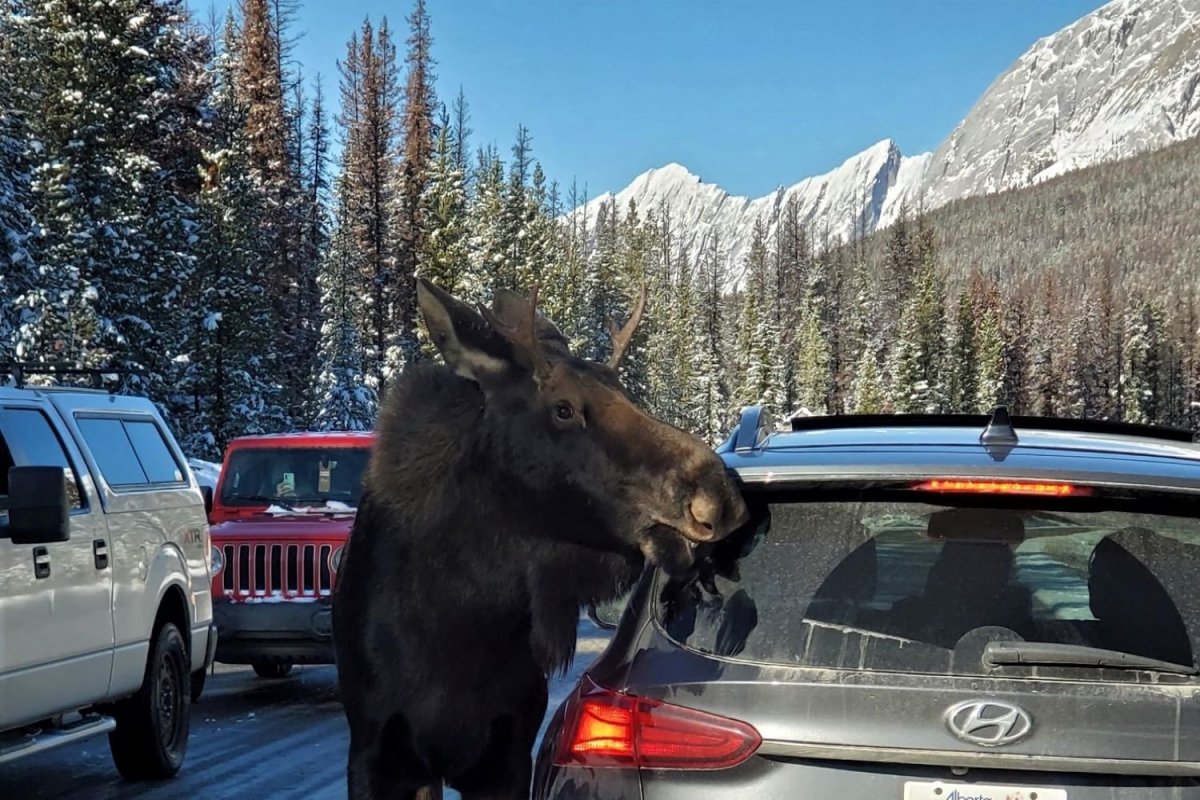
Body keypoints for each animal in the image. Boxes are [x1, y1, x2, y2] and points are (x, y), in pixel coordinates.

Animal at [333, 278, 748, 796]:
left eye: (626, 393)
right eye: (563, 409)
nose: (719, 496)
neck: (461, 626)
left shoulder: (507, 755)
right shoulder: (374, 755)